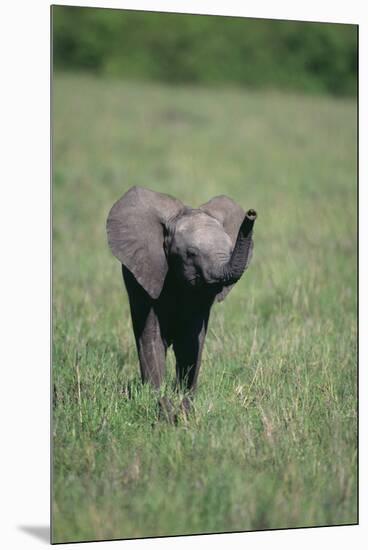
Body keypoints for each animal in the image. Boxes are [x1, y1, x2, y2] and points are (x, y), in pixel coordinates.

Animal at [106, 187, 256, 414]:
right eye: (191, 253)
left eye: (230, 251)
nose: (252, 213)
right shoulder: (149, 274)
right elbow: (152, 336)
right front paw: (160, 401)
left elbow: (191, 340)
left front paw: (184, 403)